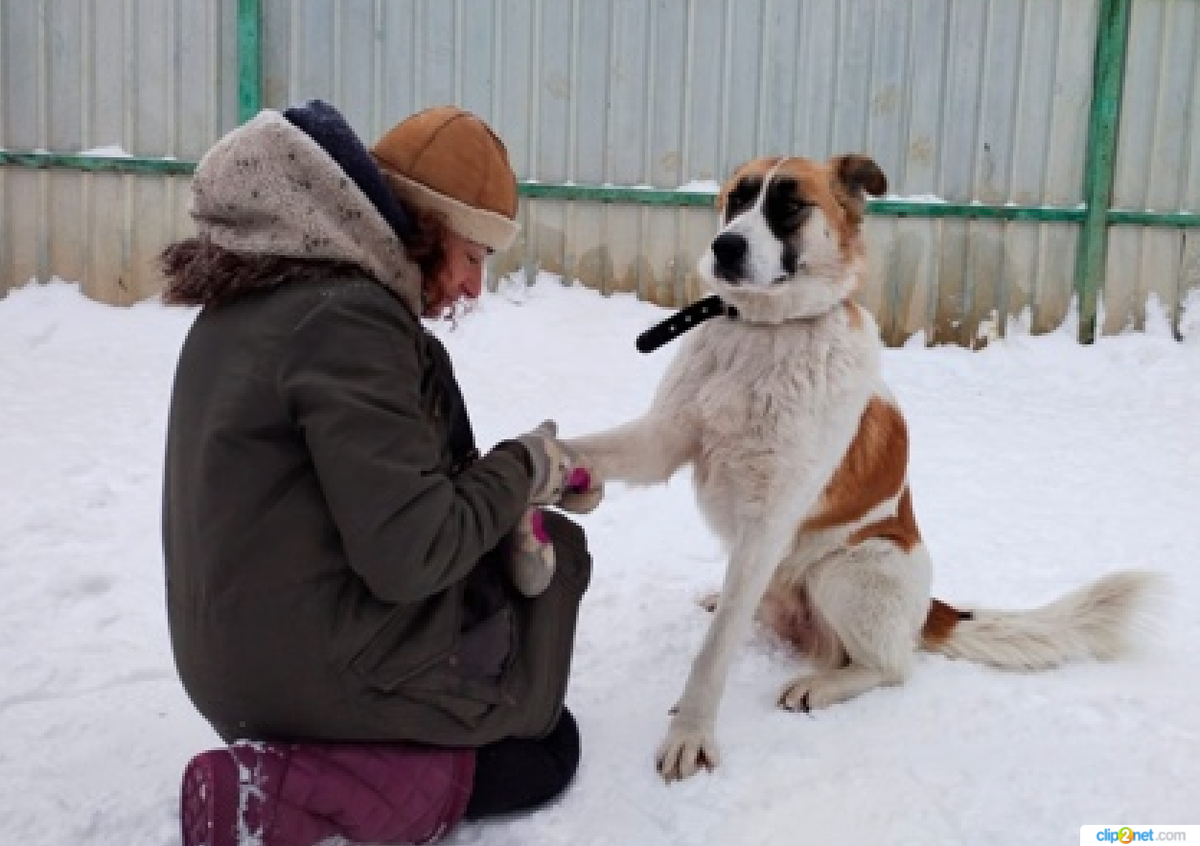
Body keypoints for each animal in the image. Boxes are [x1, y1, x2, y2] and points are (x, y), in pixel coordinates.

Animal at [566, 151, 1156, 777]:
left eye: (790, 205)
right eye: (737, 199)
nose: (724, 246)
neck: (765, 332)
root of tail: (934, 610)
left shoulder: (769, 519)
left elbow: (716, 649)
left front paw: (691, 731)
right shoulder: (664, 439)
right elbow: (590, 447)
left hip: (849, 569)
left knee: (889, 667)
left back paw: (818, 686)